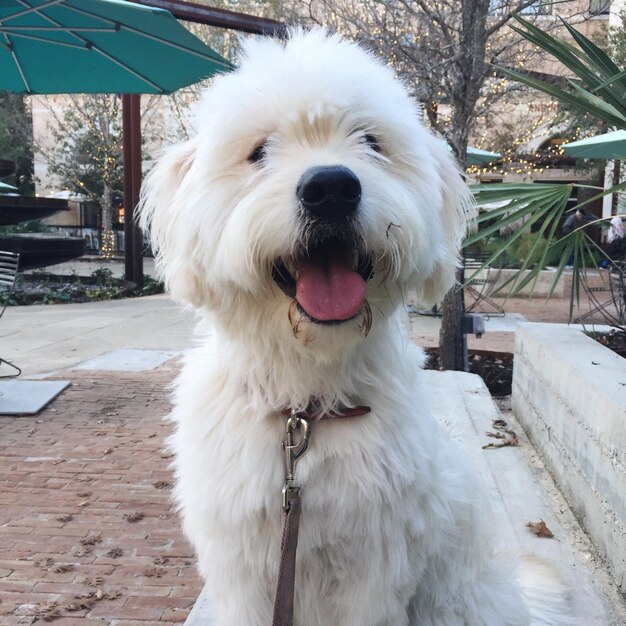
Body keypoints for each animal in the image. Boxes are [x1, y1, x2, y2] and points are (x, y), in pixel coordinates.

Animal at [140, 28, 572, 620]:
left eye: (370, 141)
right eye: (259, 152)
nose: (330, 188)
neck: (307, 408)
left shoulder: (375, 562)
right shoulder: (243, 563)